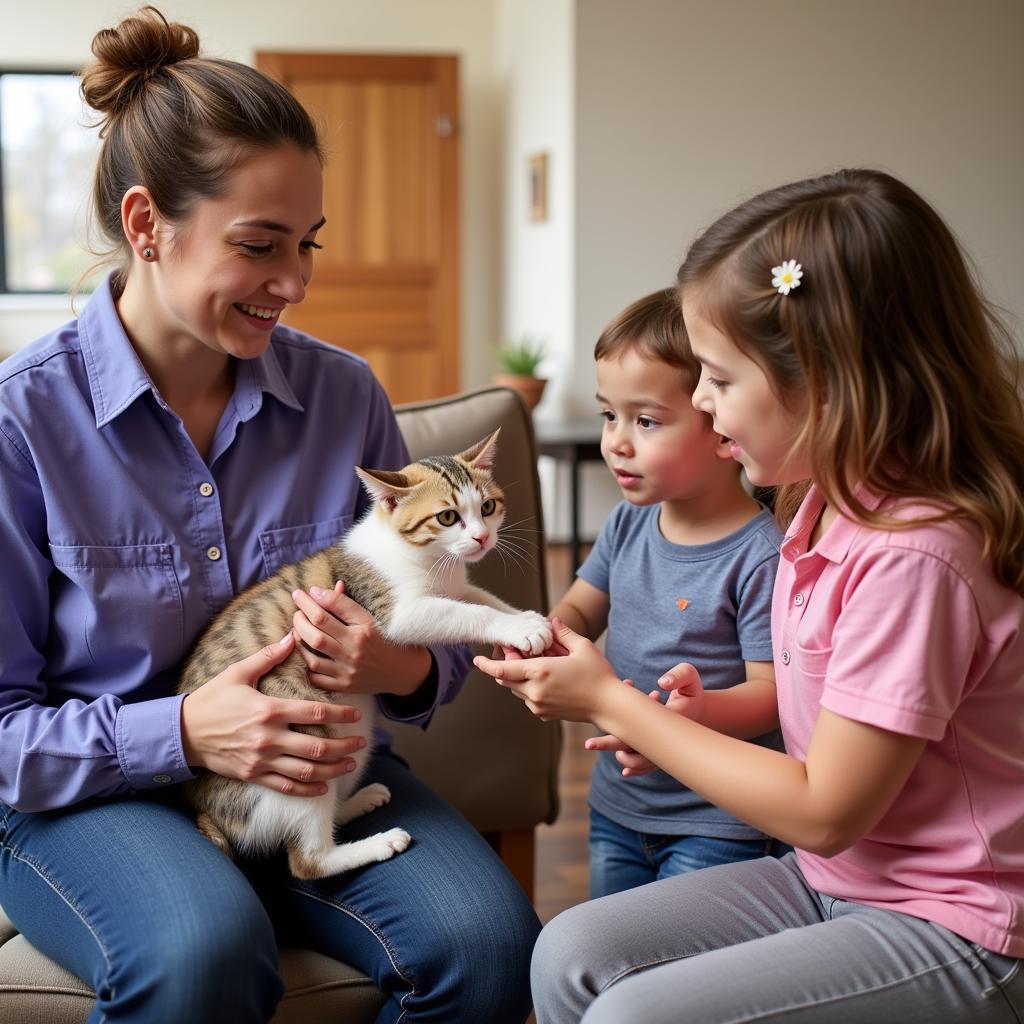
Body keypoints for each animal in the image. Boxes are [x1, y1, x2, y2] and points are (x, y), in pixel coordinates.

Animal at [174, 432, 552, 880]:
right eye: (447, 517)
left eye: (488, 507)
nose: (482, 538)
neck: (426, 560)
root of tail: (209, 812)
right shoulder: (396, 612)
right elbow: (464, 613)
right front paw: (518, 627)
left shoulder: (455, 583)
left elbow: (478, 596)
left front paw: (525, 618)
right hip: (302, 747)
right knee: (308, 860)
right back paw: (375, 844)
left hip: (351, 740)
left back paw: (356, 802)